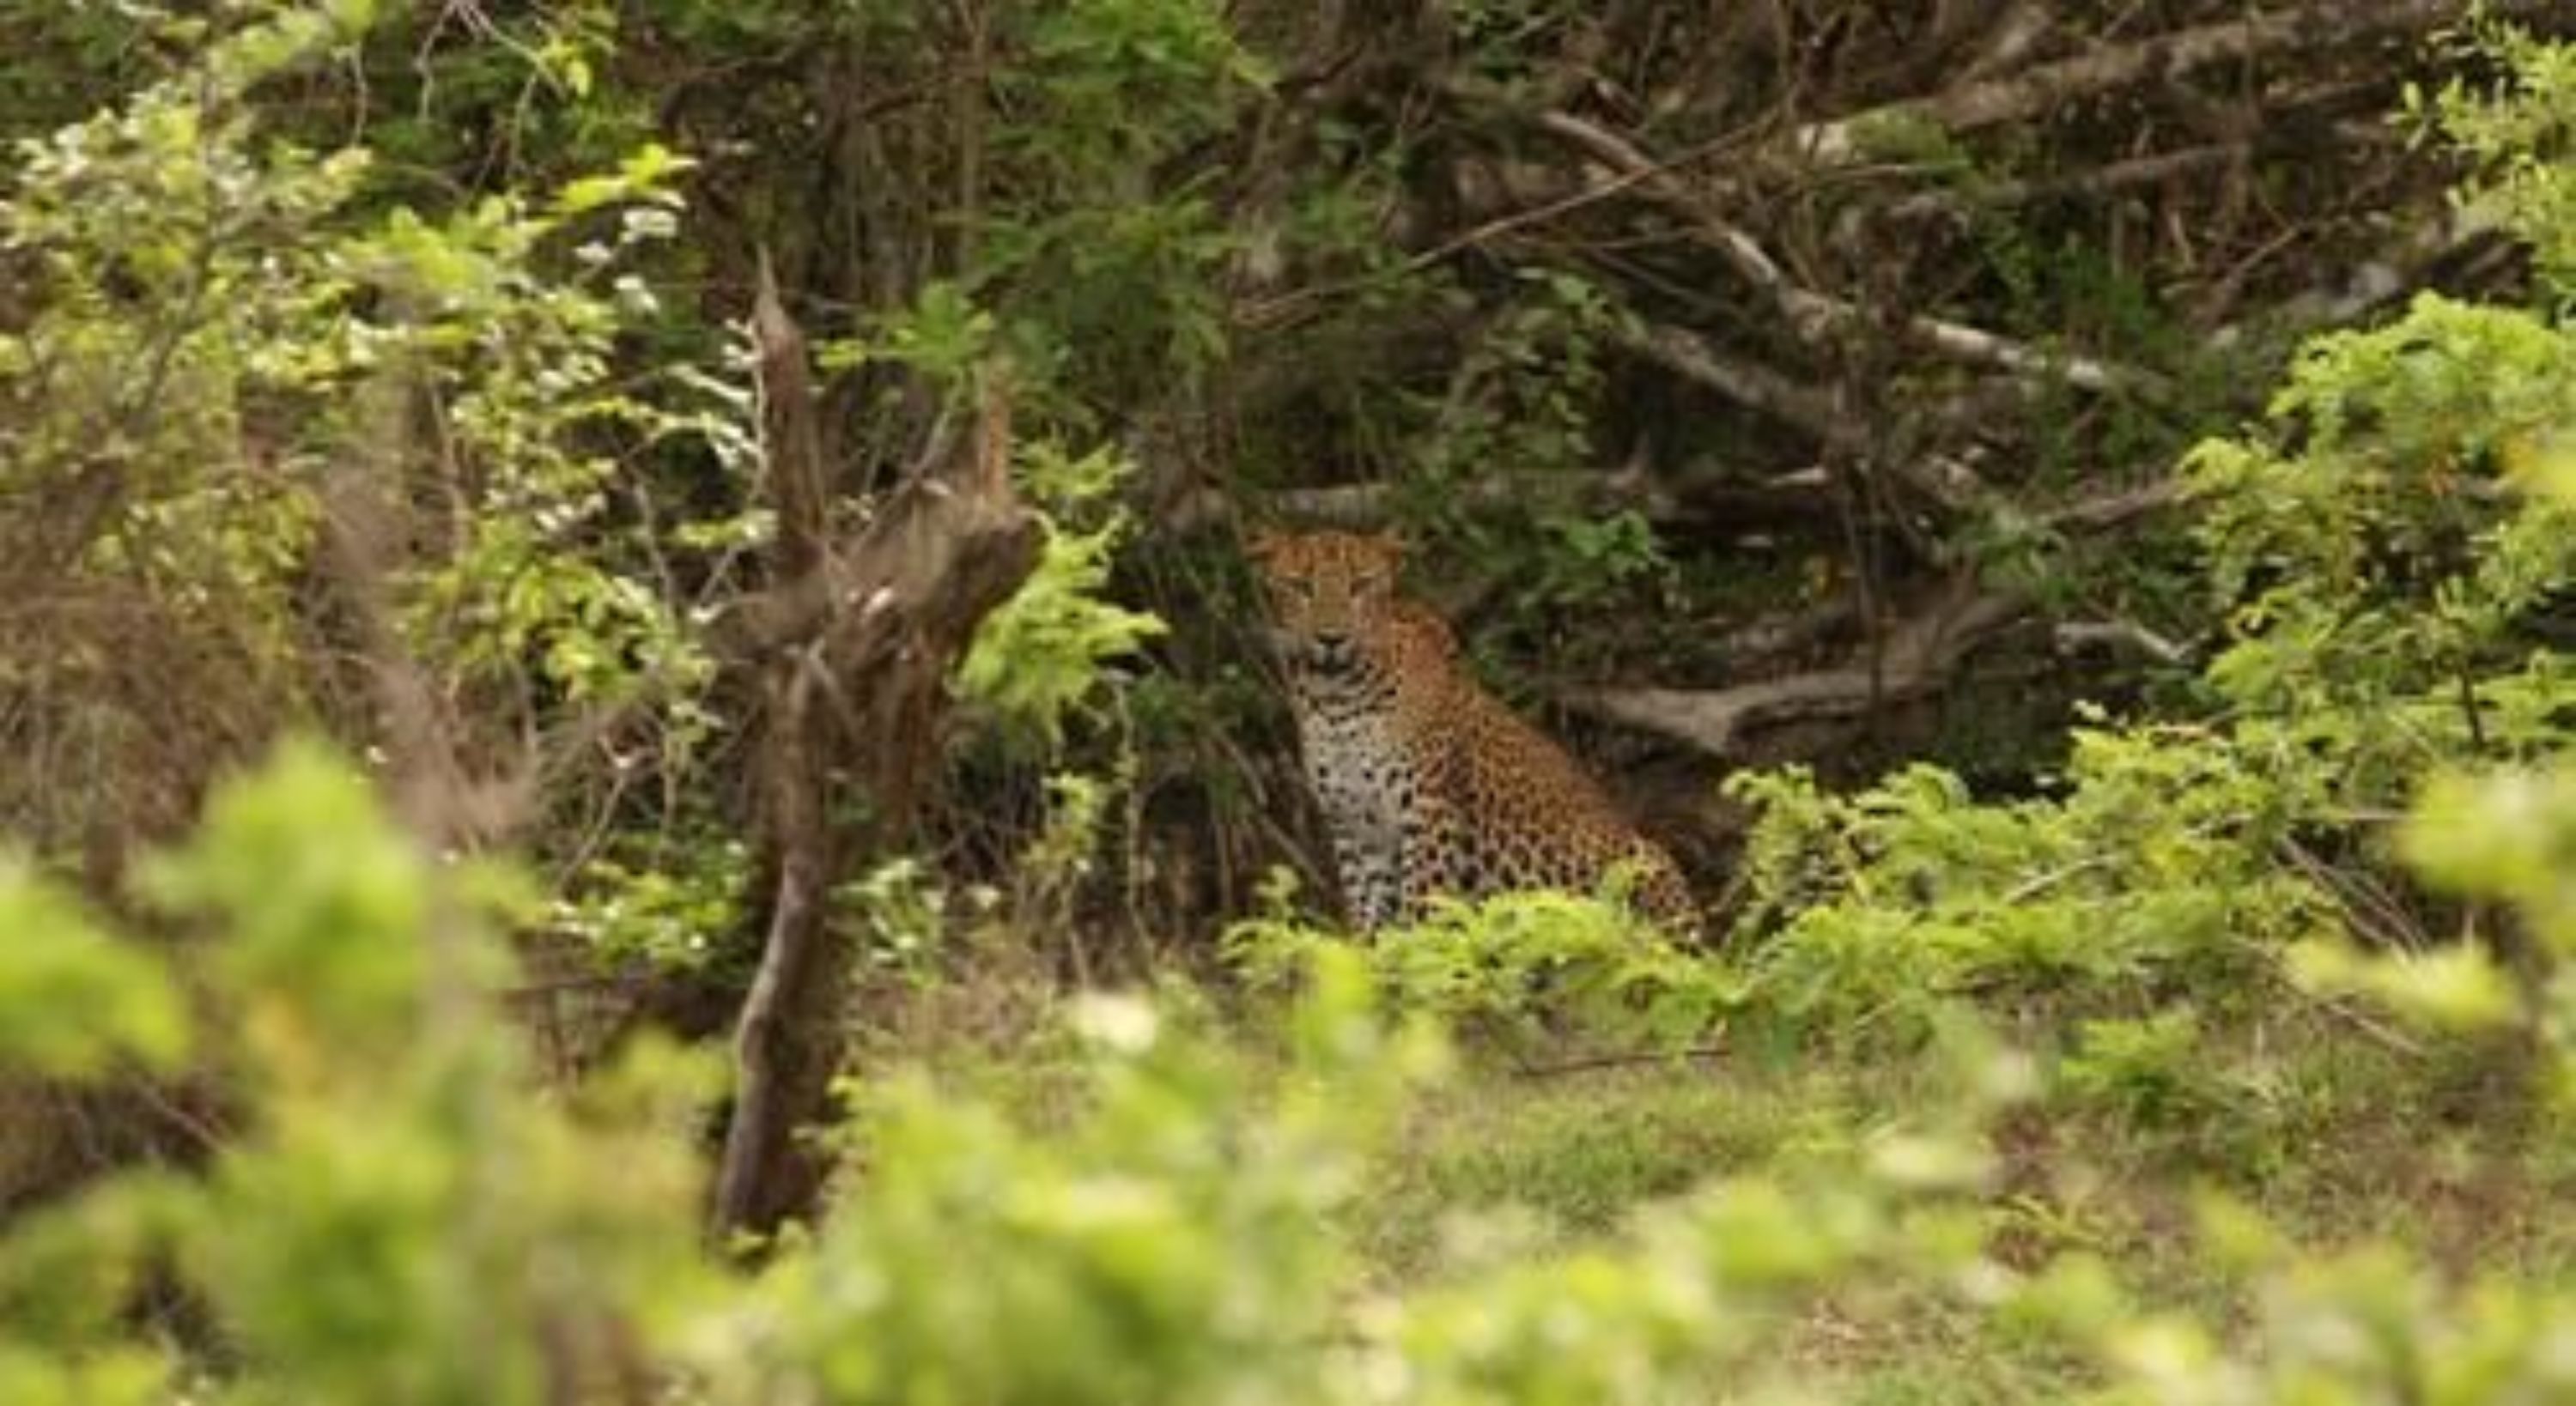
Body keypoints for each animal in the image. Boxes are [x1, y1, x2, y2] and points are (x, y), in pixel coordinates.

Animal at [1249, 527, 1697, 934]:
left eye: (1361, 584)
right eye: (1300, 586)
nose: (1331, 638)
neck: (1336, 703)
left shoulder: (1428, 813)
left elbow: (1420, 912)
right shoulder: (1356, 830)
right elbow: (1370, 922)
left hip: (1648, 862)